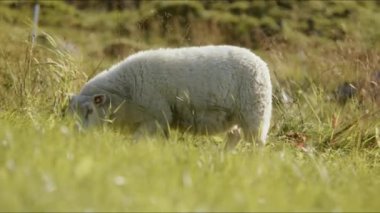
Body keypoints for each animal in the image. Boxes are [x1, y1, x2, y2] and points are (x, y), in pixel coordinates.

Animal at [67, 45, 270, 147]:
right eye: (72, 113)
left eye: (90, 111)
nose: (79, 134)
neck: (124, 93)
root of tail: (259, 62)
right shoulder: (160, 121)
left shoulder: (155, 117)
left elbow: (136, 142)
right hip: (235, 116)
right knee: (234, 136)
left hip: (255, 113)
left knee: (257, 143)